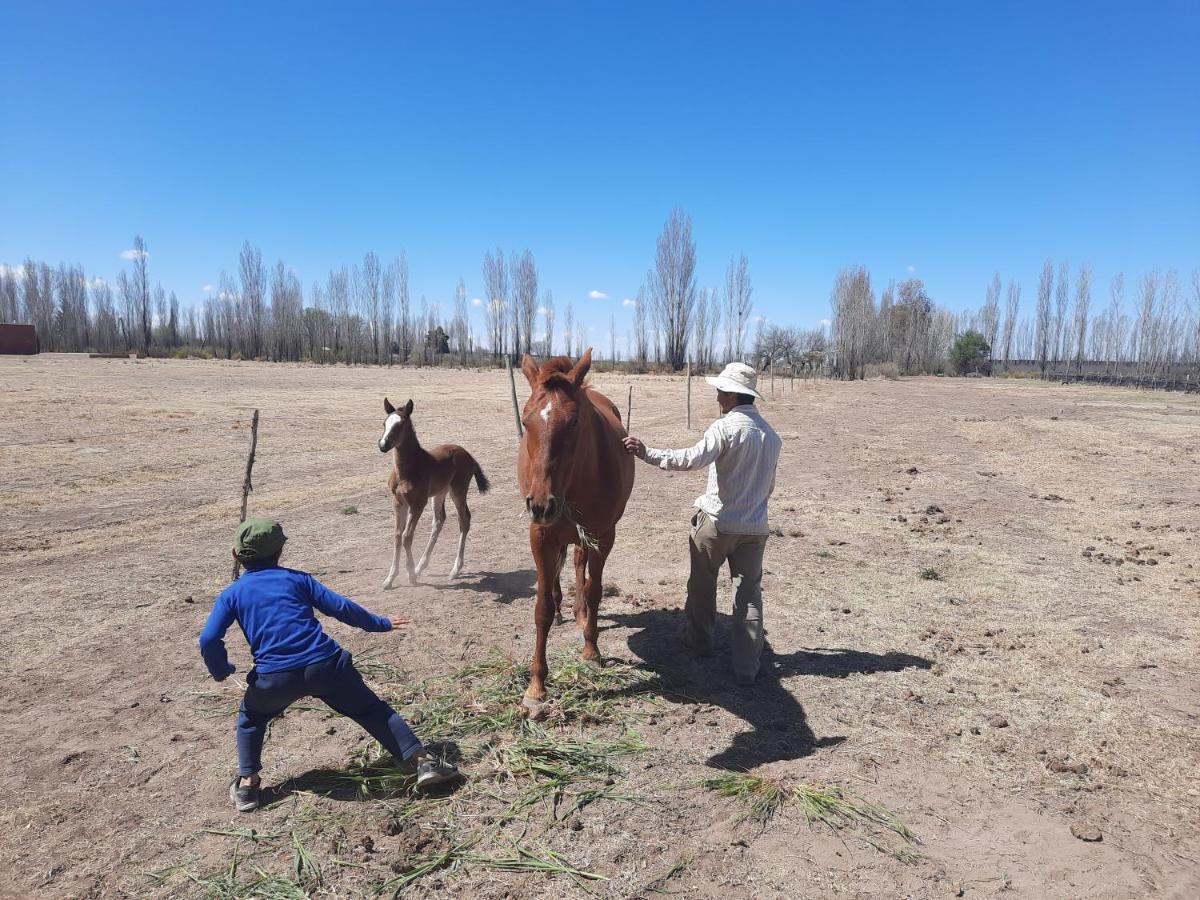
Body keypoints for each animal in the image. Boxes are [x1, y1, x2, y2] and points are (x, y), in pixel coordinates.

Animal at [374, 400, 487, 585]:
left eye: (400, 425)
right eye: (384, 424)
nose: (383, 445)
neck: (406, 470)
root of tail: (468, 455)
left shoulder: (418, 503)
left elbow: (406, 536)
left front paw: (410, 575)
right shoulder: (398, 502)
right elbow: (397, 535)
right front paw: (390, 578)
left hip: (458, 491)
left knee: (464, 520)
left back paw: (454, 569)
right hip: (439, 494)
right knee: (438, 521)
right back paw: (421, 567)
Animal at [516, 348, 633, 710]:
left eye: (575, 421)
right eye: (525, 421)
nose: (541, 504)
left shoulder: (603, 536)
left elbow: (595, 591)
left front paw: (591, 650)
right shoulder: (539, 535)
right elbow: (541, 609)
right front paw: (536, 686)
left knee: (580, 566)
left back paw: (580, 614)